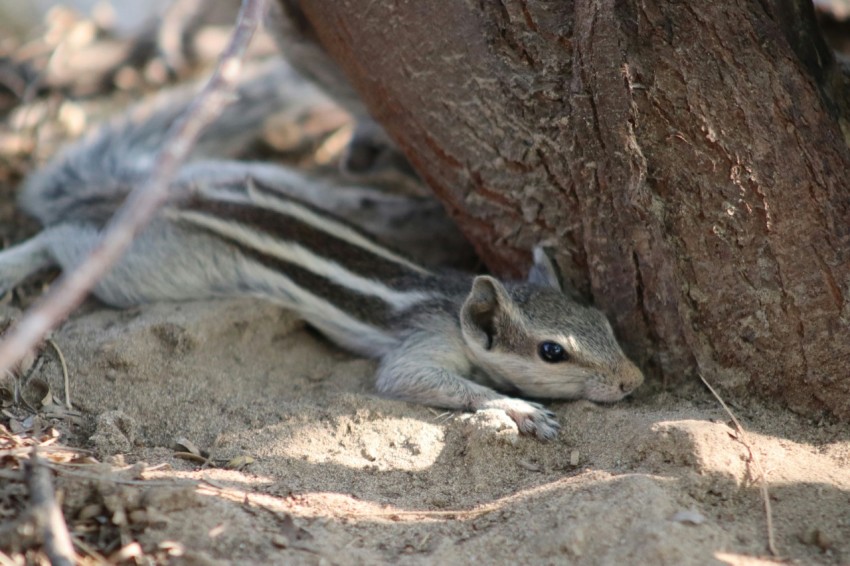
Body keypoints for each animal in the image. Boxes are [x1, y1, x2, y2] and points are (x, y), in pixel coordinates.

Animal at [0, 66, 640, 442]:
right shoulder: (419, 348)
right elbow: (415, 379)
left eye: (603, 319)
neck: (453, 301)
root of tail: (149, 192)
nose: (633, 381)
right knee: (64, 238)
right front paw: (518, 408)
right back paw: (16, 261)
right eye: (553, 352)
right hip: (148, 270)